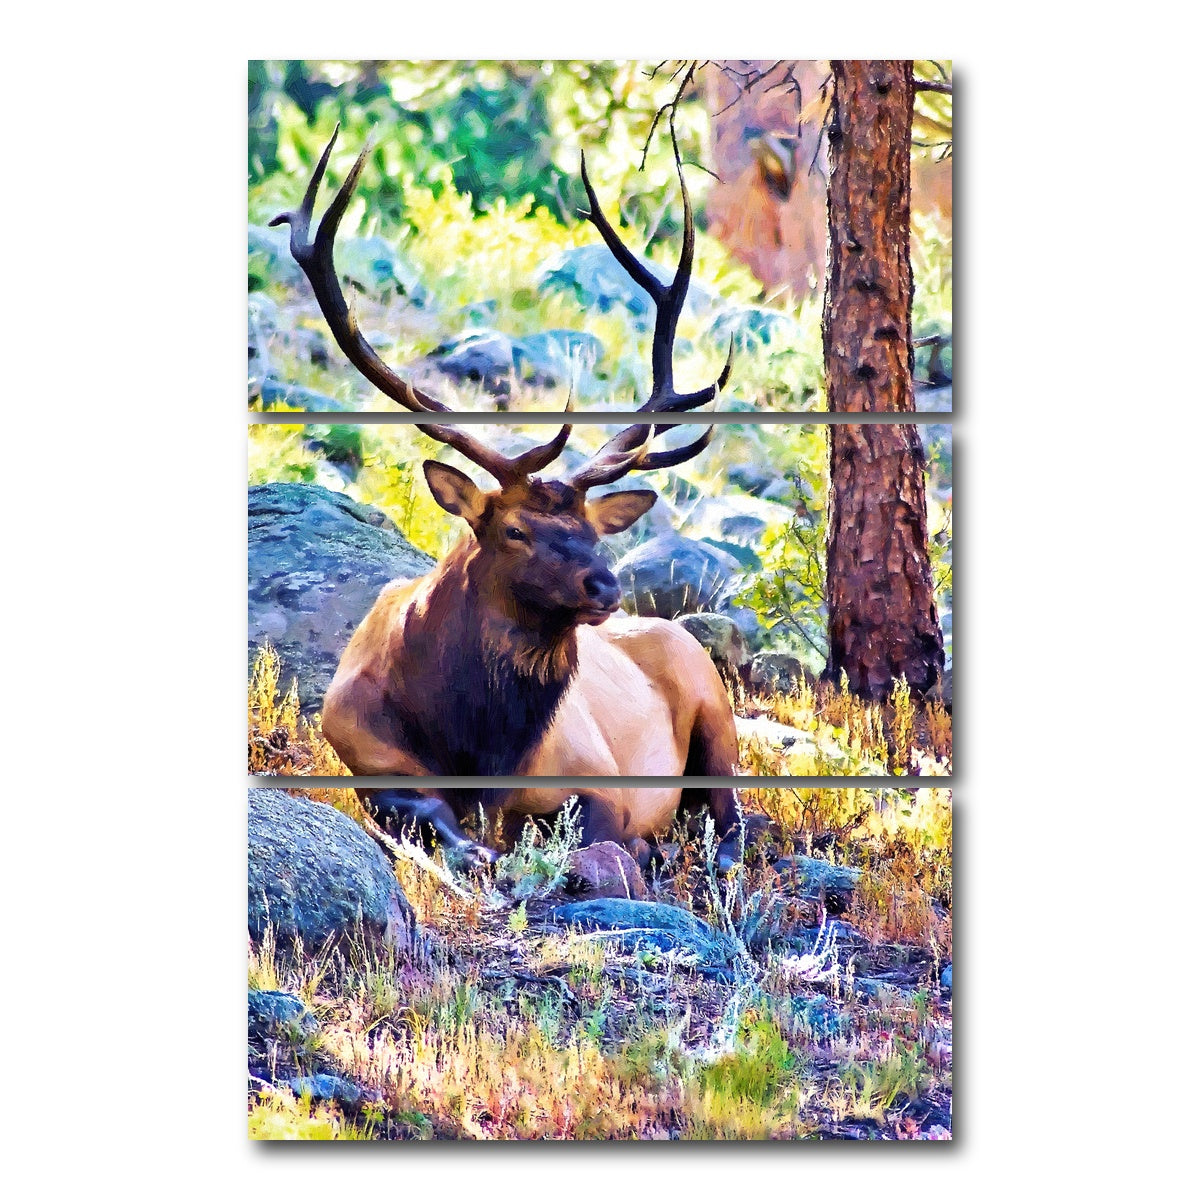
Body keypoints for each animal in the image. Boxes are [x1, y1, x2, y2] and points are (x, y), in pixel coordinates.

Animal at [271, 127, 751, 873]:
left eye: (595, 532)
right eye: (515, 531)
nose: (605, 585)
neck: (476, 747)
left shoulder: (599, 775)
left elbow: (598, 830)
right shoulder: (365, 758)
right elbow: (436, 819)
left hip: (713, 704)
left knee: (733, 817)